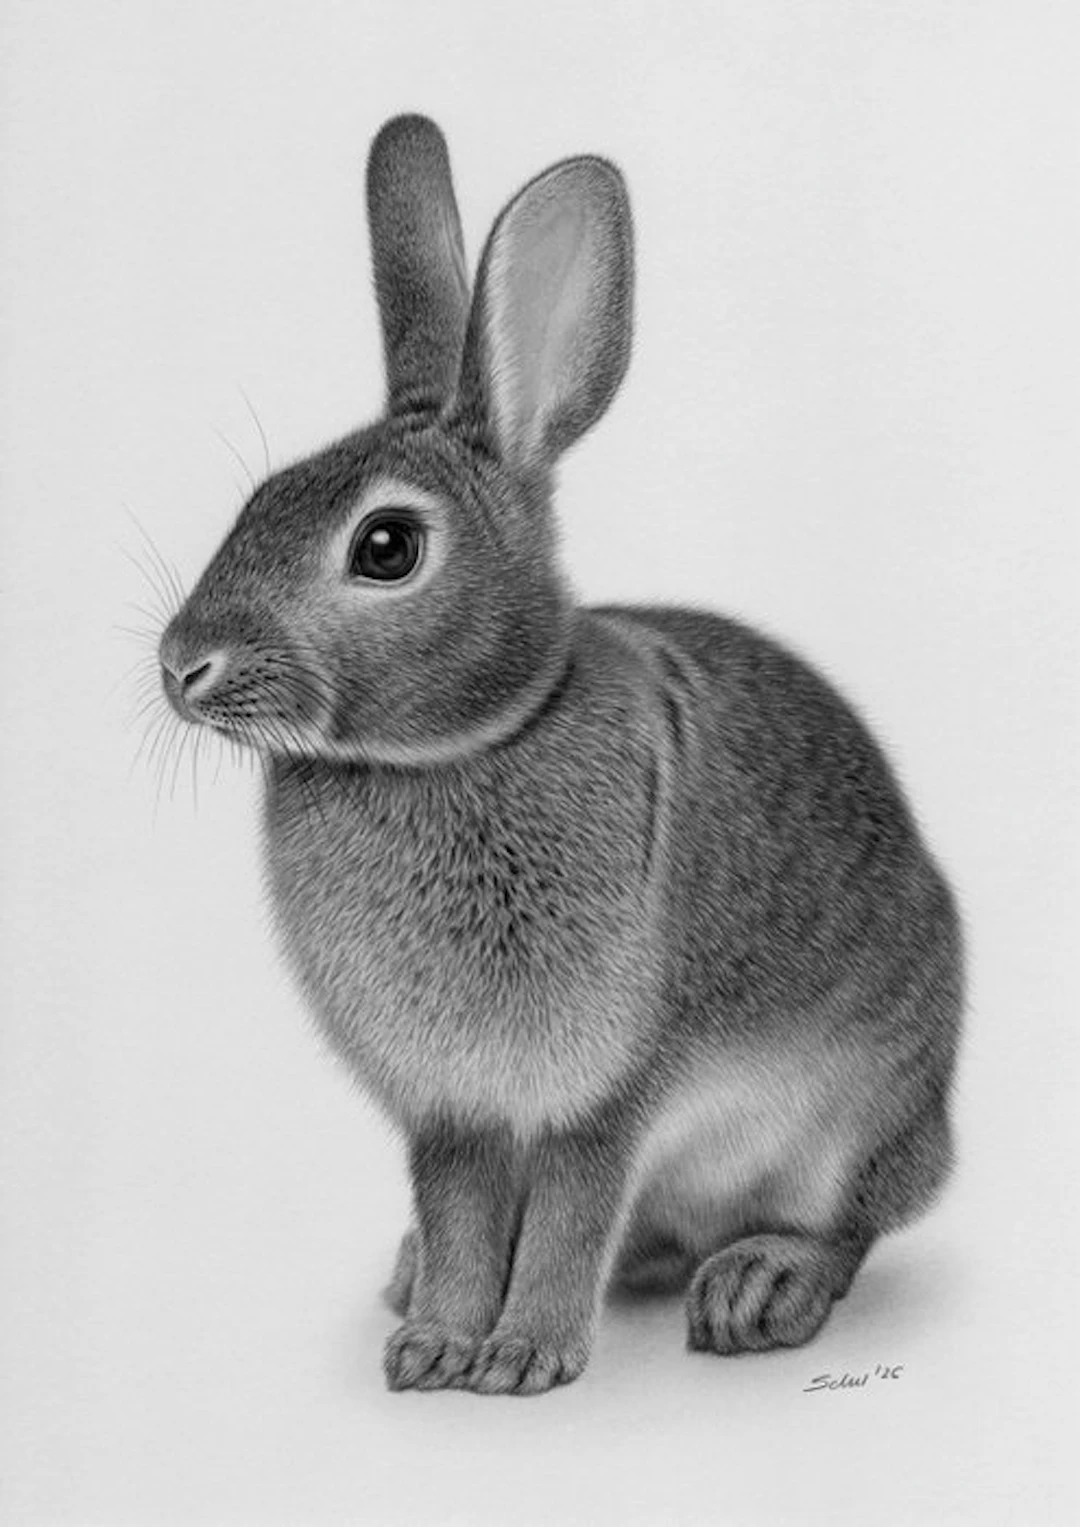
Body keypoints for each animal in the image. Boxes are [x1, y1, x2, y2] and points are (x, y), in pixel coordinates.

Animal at [158, 114, 963, 1397]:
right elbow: (464, 1214)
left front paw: (524, 1356)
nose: (181, 665)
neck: (462, 745)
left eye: (386, 547)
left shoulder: (608, 1085)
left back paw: (760, 1287)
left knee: (846, 1225)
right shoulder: (453, 1110)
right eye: (260, 497)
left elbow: (573, 1216)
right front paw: (435, 1342)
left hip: (852, 1117)